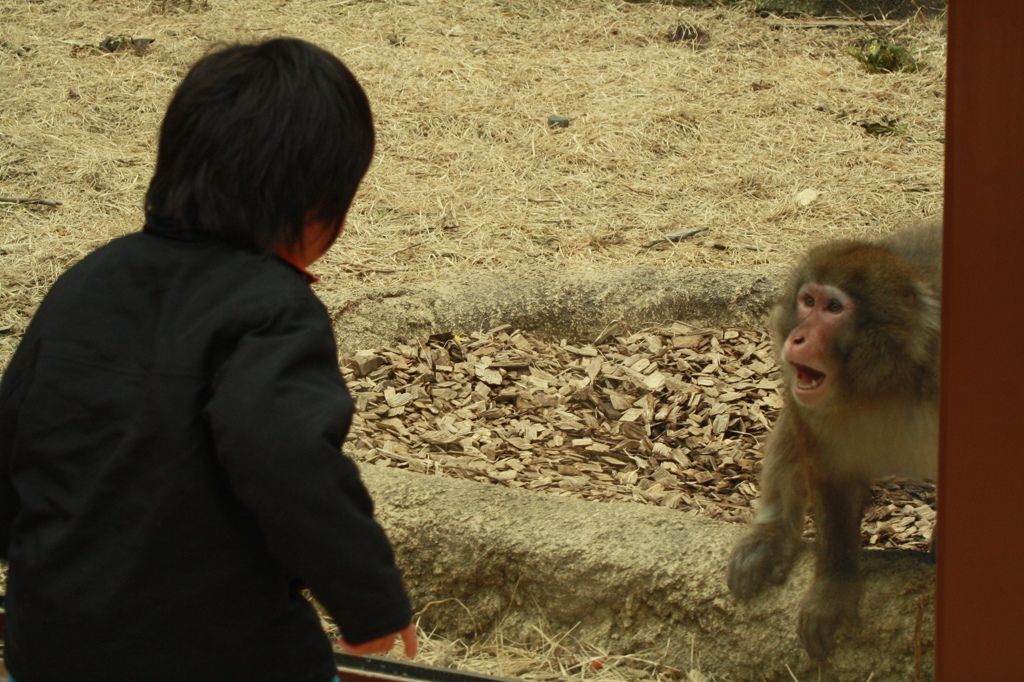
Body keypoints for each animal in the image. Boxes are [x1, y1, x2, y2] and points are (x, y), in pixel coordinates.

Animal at [724, 220, 937, 655]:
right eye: (808, 300)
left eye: (834, 309)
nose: (798, 338)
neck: (887, 381)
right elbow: (832, 470)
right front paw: (833, 589)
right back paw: (772, 535)